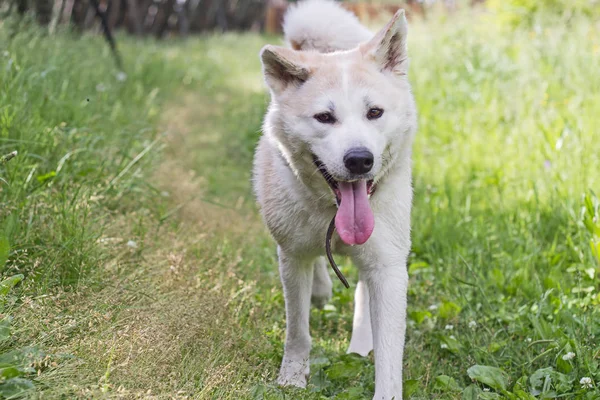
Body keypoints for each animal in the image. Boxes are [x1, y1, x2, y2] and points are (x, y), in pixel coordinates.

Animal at [253, 1, 418, 398]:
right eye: (324, 117)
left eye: (374, 112)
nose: (359, 160)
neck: (334, 211)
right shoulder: (292, 258)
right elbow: (297, 329)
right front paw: (293, 377)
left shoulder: (389, 267)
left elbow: (389, 355)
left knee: (361, 294)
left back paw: (359, 344)